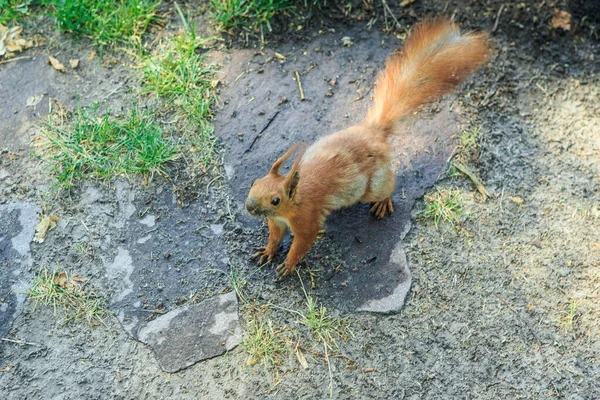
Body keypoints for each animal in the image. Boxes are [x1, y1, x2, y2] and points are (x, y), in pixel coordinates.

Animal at [246, 18, 490, 280]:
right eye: (254, 183)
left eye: (275, 200)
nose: (249, 206)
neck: (294, 201)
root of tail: (374, 132)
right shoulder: (277, 222)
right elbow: (274, 237)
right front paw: (267, 251)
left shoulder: (306, 219)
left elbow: (302, 242)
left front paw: (289, 264)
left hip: (374, 185)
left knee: (388, 186)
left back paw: (383, 202)